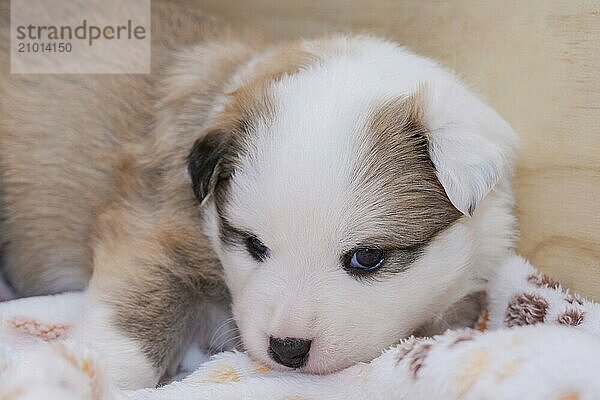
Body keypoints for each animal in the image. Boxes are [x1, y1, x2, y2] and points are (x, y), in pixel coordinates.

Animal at [0, 1, 516, 390]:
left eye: (367, 257)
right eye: (253, 245)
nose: (286, 349)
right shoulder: (152, 232)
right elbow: (127, 333)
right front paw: (78, 376)